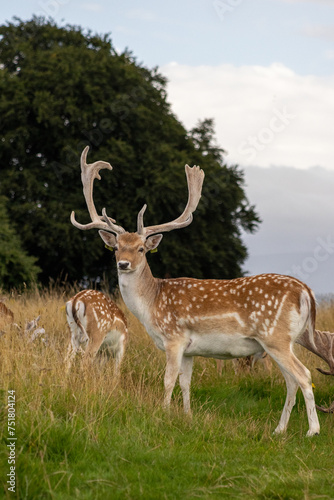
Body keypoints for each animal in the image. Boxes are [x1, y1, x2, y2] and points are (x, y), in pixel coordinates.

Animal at [70, 146, 320, 436]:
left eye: (142, 249)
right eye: (116, 247)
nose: (123, 264)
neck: (152, 304)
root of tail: (306, 292)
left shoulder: (174, 338)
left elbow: (168, 380)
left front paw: (163, 414)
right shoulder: (190, 349)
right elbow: (185, 383)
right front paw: (187, 417)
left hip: (275, 337)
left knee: (304, 375)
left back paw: (312, 431)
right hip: (281, 341)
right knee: (291, 381)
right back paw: (279, 430)